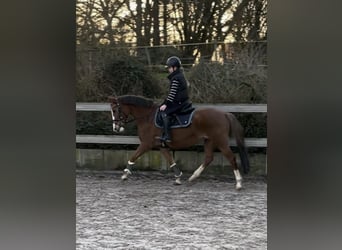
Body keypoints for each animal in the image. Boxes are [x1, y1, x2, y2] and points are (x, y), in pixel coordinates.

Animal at [108, 95, 250, 189]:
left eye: (115, 110)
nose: (116, 128)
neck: (147, 117)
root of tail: (224, 114)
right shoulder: (162, 146)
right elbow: (171, 161)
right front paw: (178, 178)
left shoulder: (146, 144)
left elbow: (133, 157)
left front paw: (124, 175)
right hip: (209, 141)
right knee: (209, 158)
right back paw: (193, 177)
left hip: (221, 142)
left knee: (231, 158)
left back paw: (238, 183)